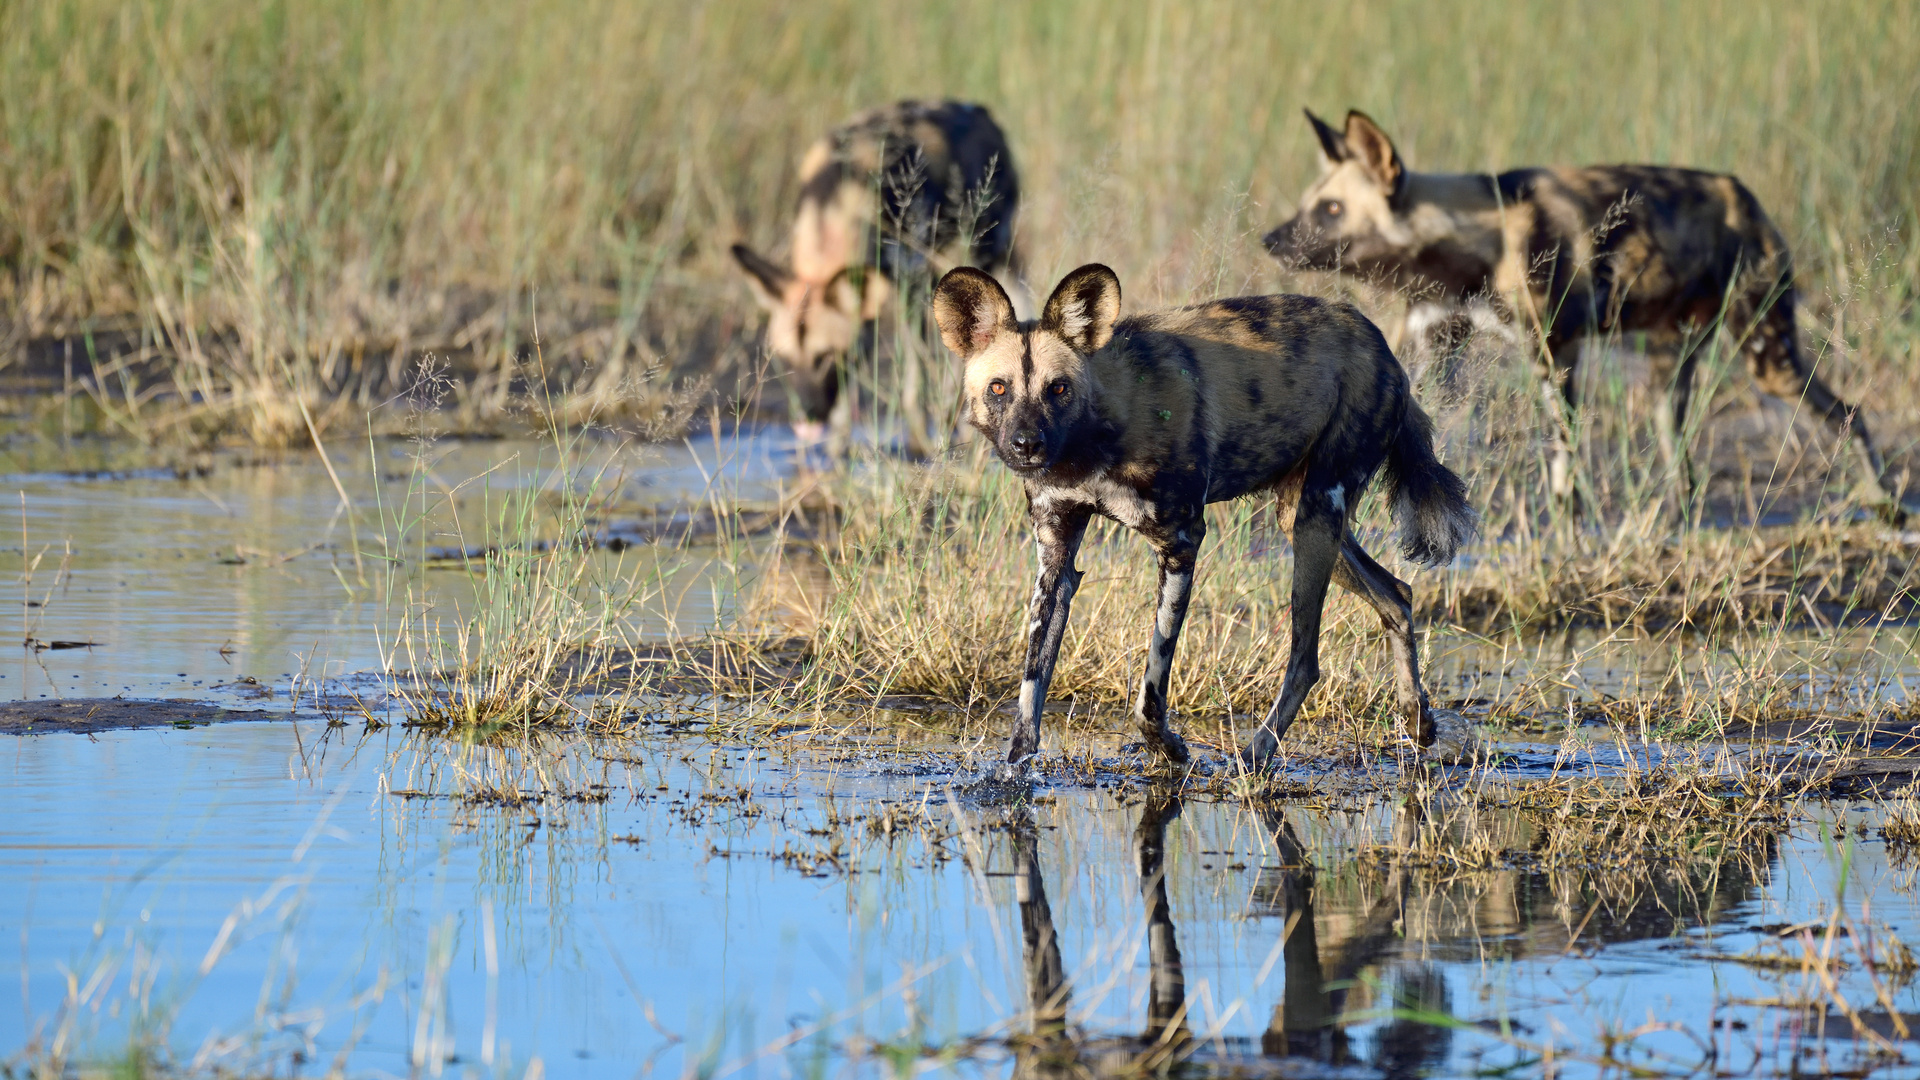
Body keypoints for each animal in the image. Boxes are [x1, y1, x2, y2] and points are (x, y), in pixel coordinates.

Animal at [725, 97, 1021, 441]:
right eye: (783, 359)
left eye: (825, 358)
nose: (805, 420)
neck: (831, 204)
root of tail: (977, 110)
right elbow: (844, 407)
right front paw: (837, 448)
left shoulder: (912, 285)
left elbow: (914, 388)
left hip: (974, 254)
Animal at [936, 263, 1474, 764]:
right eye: (1000, 389)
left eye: (1058, 389)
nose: (1027, 445)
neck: (1091, 440)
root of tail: (1382, 345)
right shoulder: (1056, 556)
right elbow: (1032, 683)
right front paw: (1012, 774)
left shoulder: (1181, 541)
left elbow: (1150, 689)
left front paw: (1169, 750)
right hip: (1304, 520)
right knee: (1397, 595)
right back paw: (1418, 721)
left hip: (1316, 518)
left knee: (1305, 660)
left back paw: (1255, 758)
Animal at [1259, 107, 1904, 515]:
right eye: (1312, 204)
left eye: (1332, 209)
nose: (1270, 239)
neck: (1469, 246)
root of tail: (1742, 194)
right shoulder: (1429, 345)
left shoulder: (1554, 355)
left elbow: (1560, 466)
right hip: (1670, 374)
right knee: (1683, 461)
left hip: (1768, 357)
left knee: (1849, 413)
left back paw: (1886, 503)